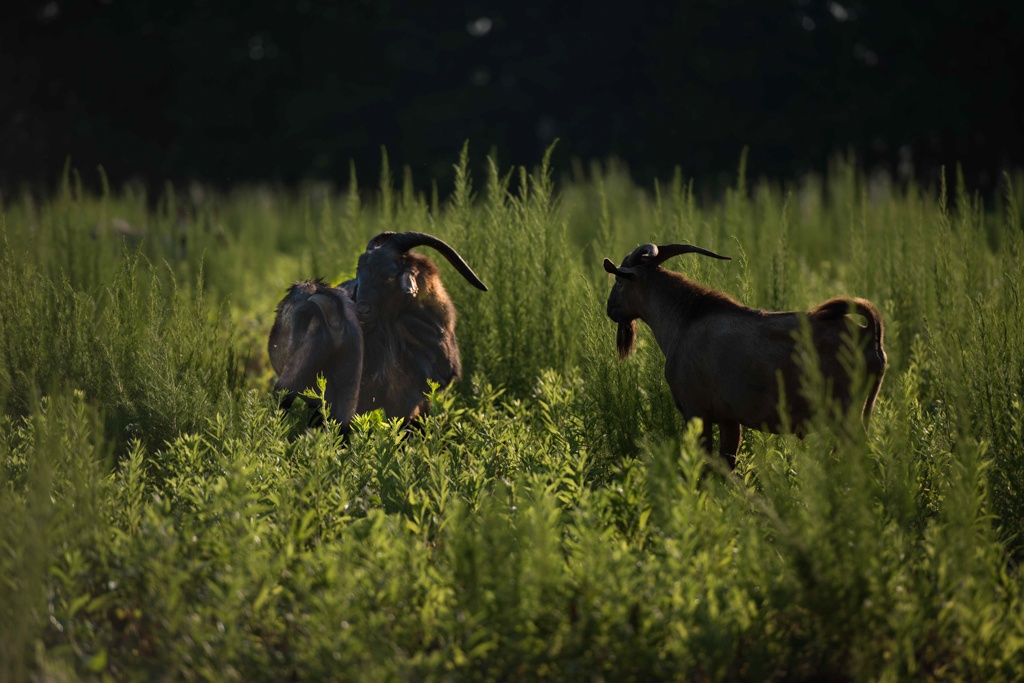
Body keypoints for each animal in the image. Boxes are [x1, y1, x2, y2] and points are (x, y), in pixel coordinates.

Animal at [602, 241, 884, 471]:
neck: (686, 318)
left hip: (846, 416)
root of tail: (870, 336)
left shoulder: (696, 412)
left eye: (618, 281)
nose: (610, 309)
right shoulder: (728, 419)